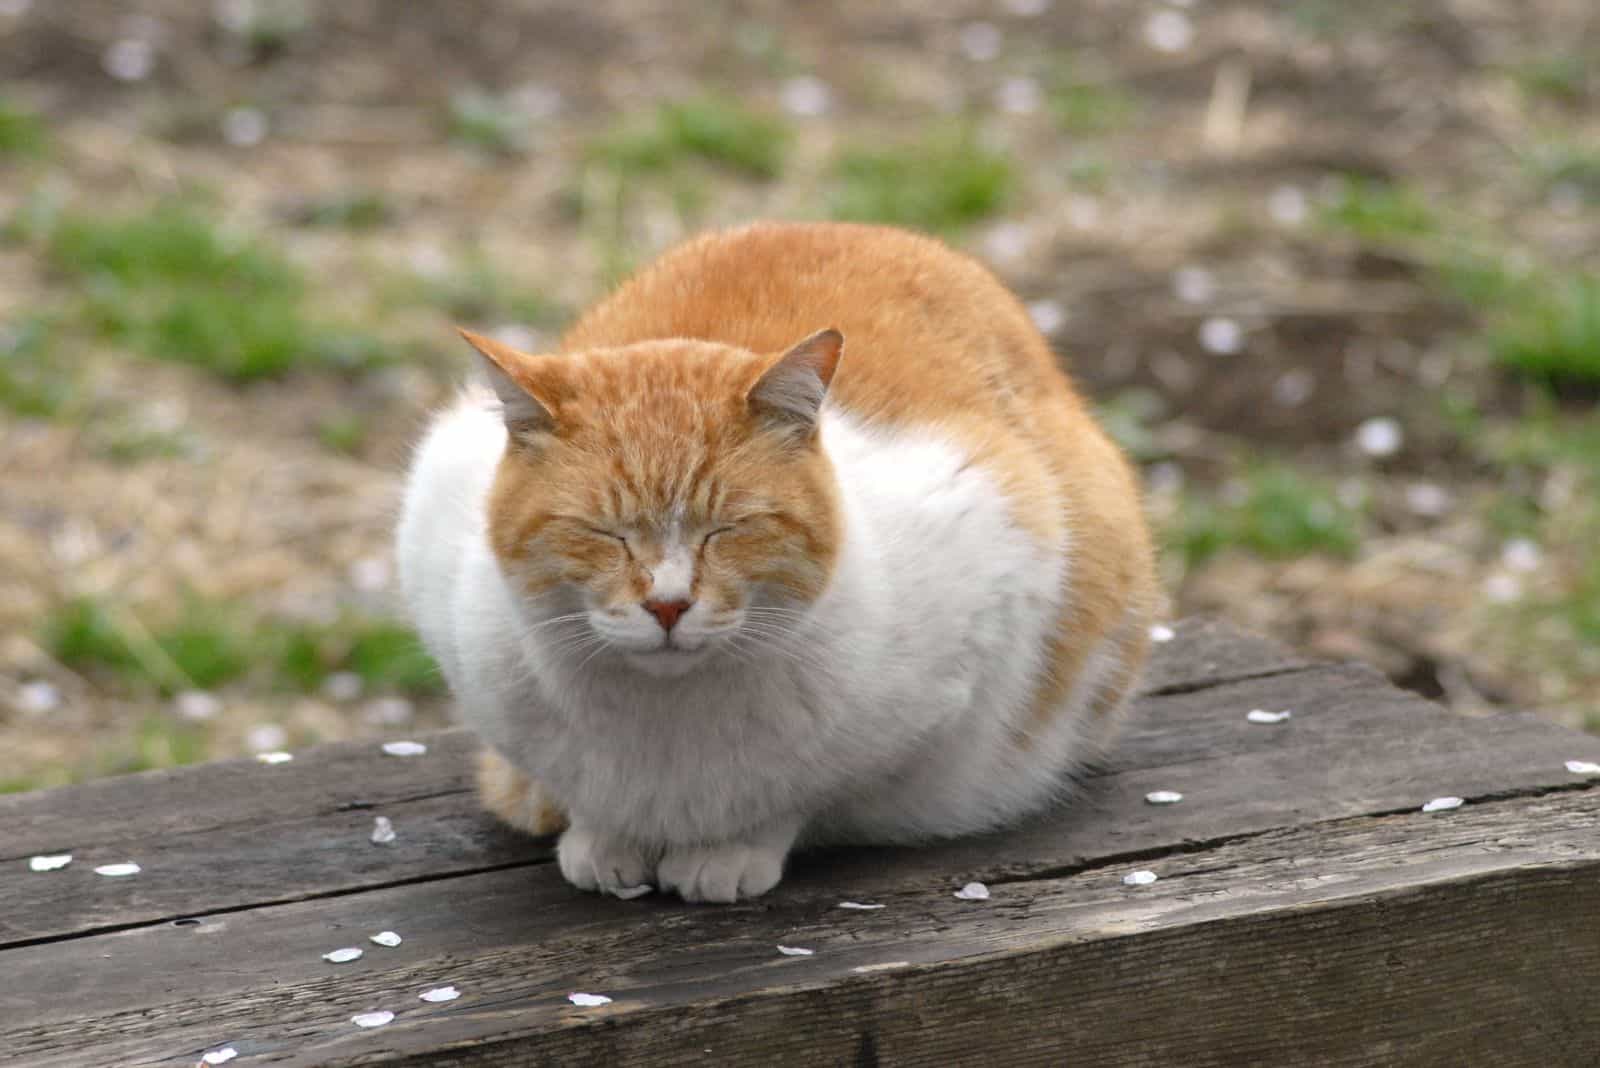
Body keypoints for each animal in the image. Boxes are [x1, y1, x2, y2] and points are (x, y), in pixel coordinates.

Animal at [393, 223, 1158, 901]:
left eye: (728, 529)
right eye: (603, 533)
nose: (667, 604)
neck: (664, 723)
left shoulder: (993, 578)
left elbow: (801, 795)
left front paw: (729, 851)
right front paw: (603, 837)